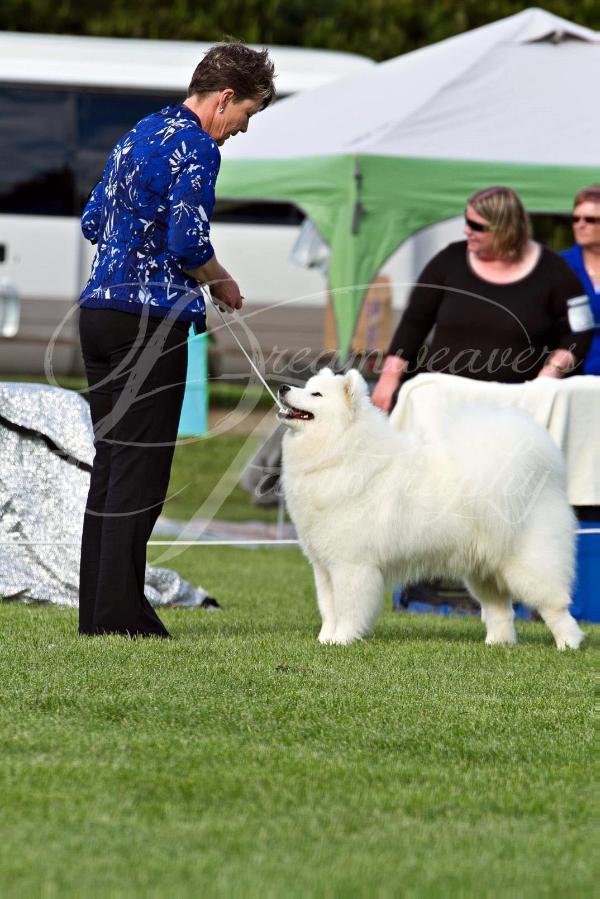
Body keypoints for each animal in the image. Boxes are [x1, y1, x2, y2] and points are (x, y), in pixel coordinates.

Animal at [278, 370, 584, 652]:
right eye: (306, 386)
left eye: (316, 394)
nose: (282, 388)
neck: (340, 451)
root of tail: (544, 476)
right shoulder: (324, 567)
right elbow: (328, 608)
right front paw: (325, 640)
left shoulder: (351, 565)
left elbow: (348, 609)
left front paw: (343, 639)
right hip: (483, 568)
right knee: (500, 609)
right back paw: (498, 643)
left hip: (528, 563)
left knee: (555, 606)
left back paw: (568, 644)